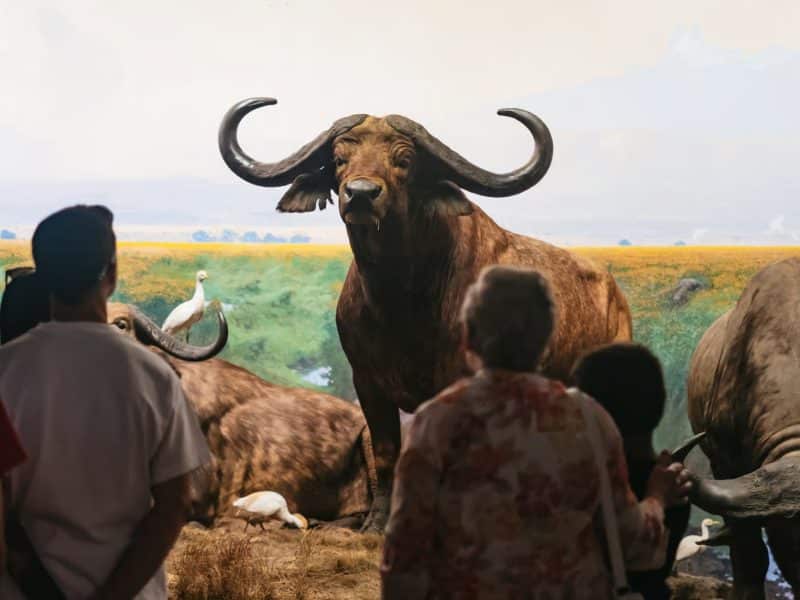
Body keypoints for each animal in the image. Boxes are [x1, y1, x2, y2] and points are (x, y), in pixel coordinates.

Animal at [219, 98, 632, 530]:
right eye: (339, 158)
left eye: (404, 159)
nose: (361, 194)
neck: (400, 301)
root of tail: (615, 294)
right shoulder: (367, 381)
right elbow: (387, 451)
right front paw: (378, 521)